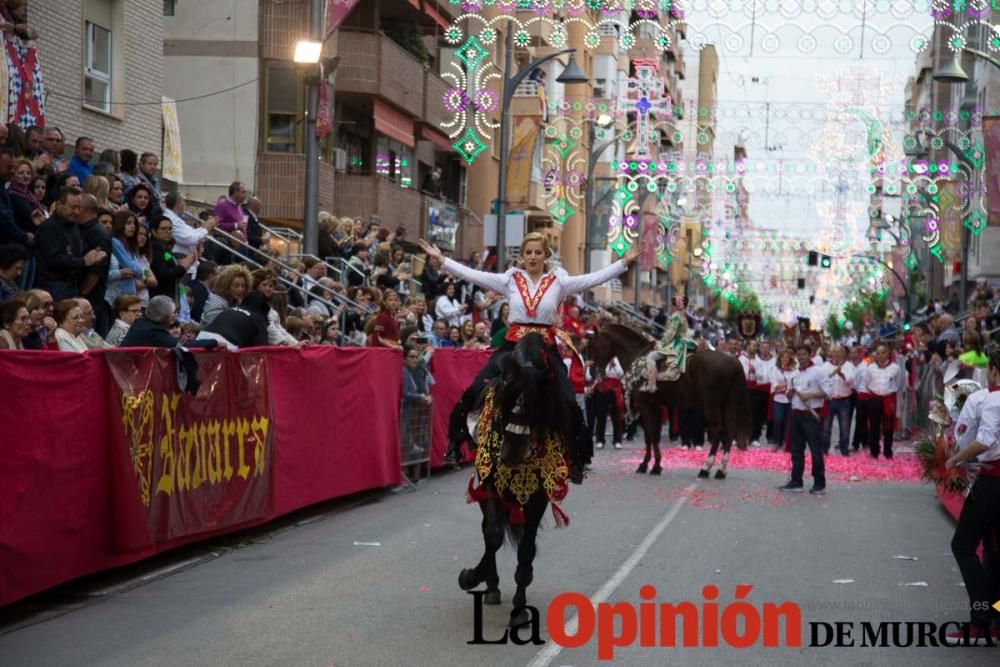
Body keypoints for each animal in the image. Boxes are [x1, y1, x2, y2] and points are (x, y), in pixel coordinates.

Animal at [458, 334, 576, 632]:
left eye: (537, 408)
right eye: (506, 400)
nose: (512, 451)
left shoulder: (539, 494)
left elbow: (526, 548)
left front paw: (520, 609)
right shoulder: (489, 483)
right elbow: (493, 535)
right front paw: (471, 577)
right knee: (489, 530)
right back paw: (491, 586)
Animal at [584, 326, 752, 478]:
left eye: (594, 346)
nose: (592, 372)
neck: (638, 356)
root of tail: (733, 361)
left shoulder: (645, 405)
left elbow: (651, 434)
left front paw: (650, 466)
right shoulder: (655, 406)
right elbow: (652, 435)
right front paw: (651, 465)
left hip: (710, 406)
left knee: (718, 431)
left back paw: (706, 468)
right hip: (727, 404)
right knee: (729, 433)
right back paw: (721, 470)